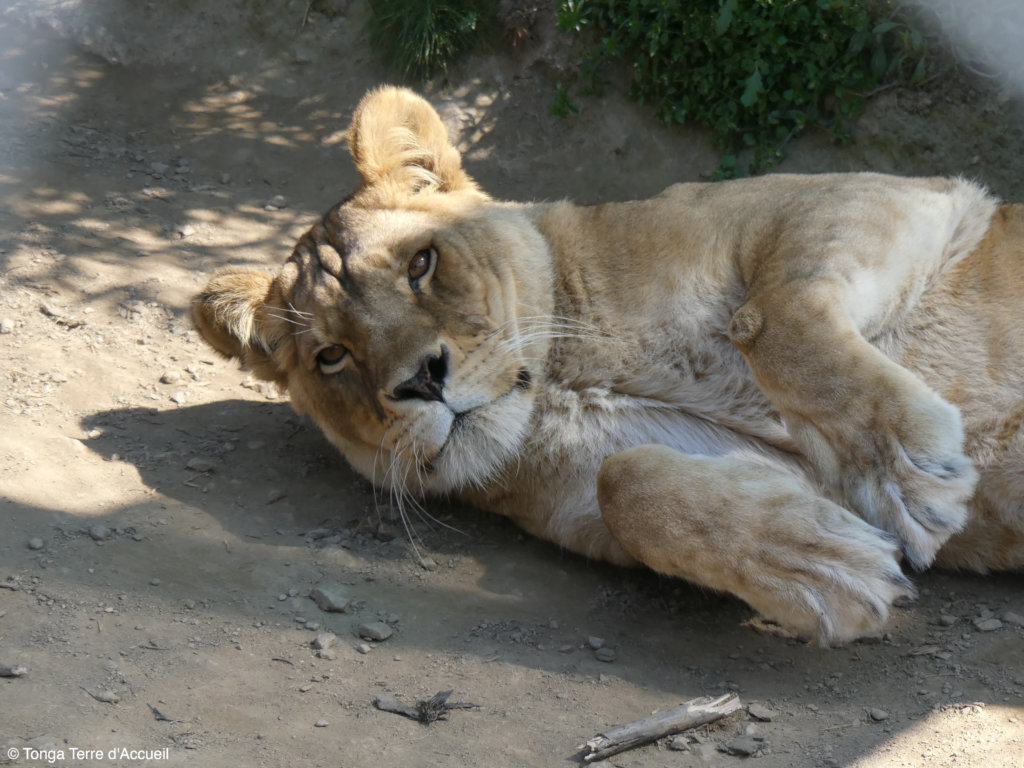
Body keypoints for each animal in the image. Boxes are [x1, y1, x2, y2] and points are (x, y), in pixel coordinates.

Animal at [191, 86, 1024, 646]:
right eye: (331, 355)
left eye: (420, 265)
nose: (422, 379)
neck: (568, 374)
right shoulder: (653, 488)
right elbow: (631, 486)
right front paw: (824, 565)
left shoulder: (889, 198)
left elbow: (769, 317)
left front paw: (906, 470)